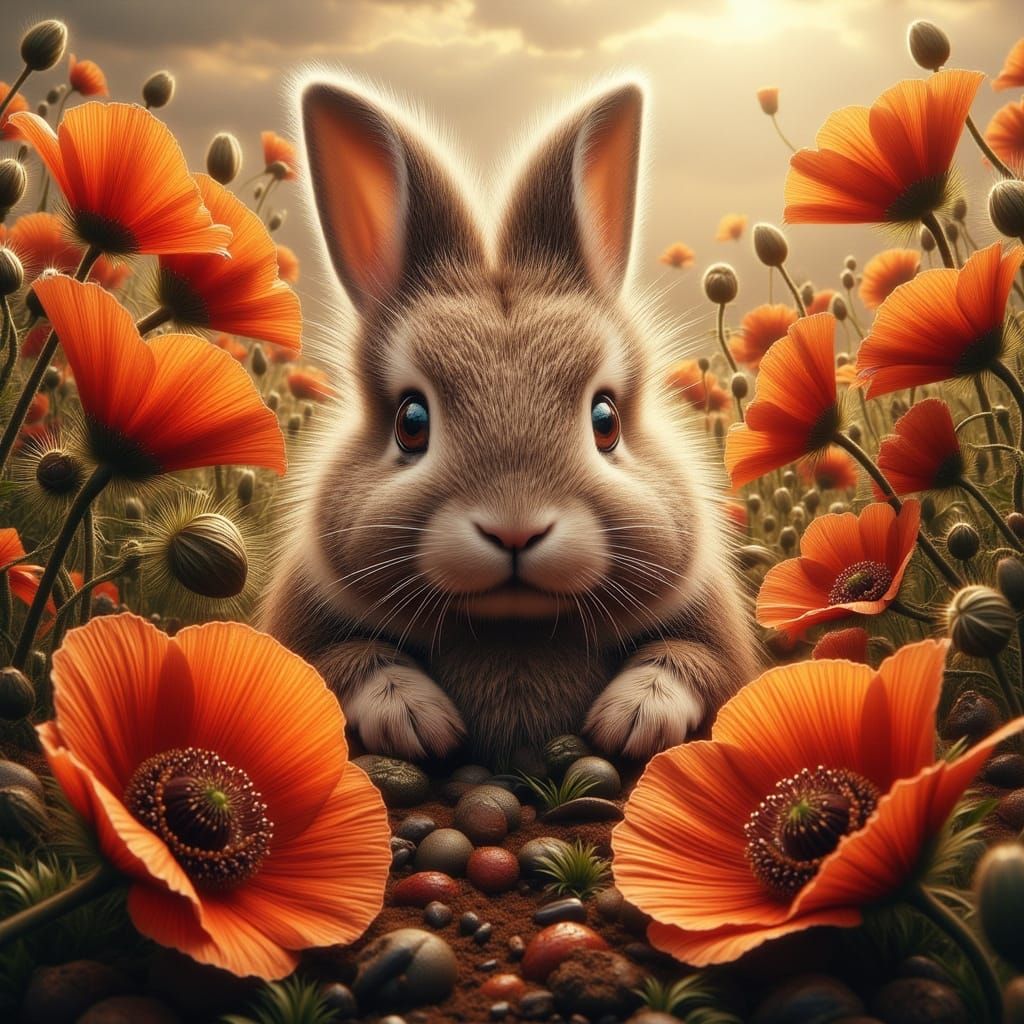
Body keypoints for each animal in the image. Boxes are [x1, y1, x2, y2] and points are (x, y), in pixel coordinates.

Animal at [263, 71, 758, 766]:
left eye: (605, 419)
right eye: (411, 422)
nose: (515, 530)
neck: (513, 627)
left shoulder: (714, 638)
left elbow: (692, 661)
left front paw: (634, 717)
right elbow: (346, 665)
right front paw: (416, 718)